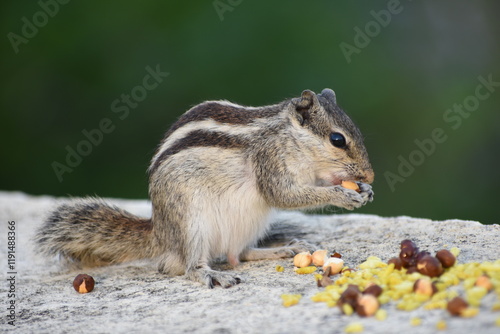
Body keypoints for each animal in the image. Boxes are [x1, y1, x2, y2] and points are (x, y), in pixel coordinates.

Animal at [35, 88, 374, 288]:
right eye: (337, 139)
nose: (370, 175)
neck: (290, 138)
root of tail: (160, 234)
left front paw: (363, 191)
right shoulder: (271, 164)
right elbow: (285, 195)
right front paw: (343, 194)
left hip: (250, 223)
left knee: (240, 254)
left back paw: (285, 248)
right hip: (192, 224)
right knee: (189, 267)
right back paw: (211, 274)